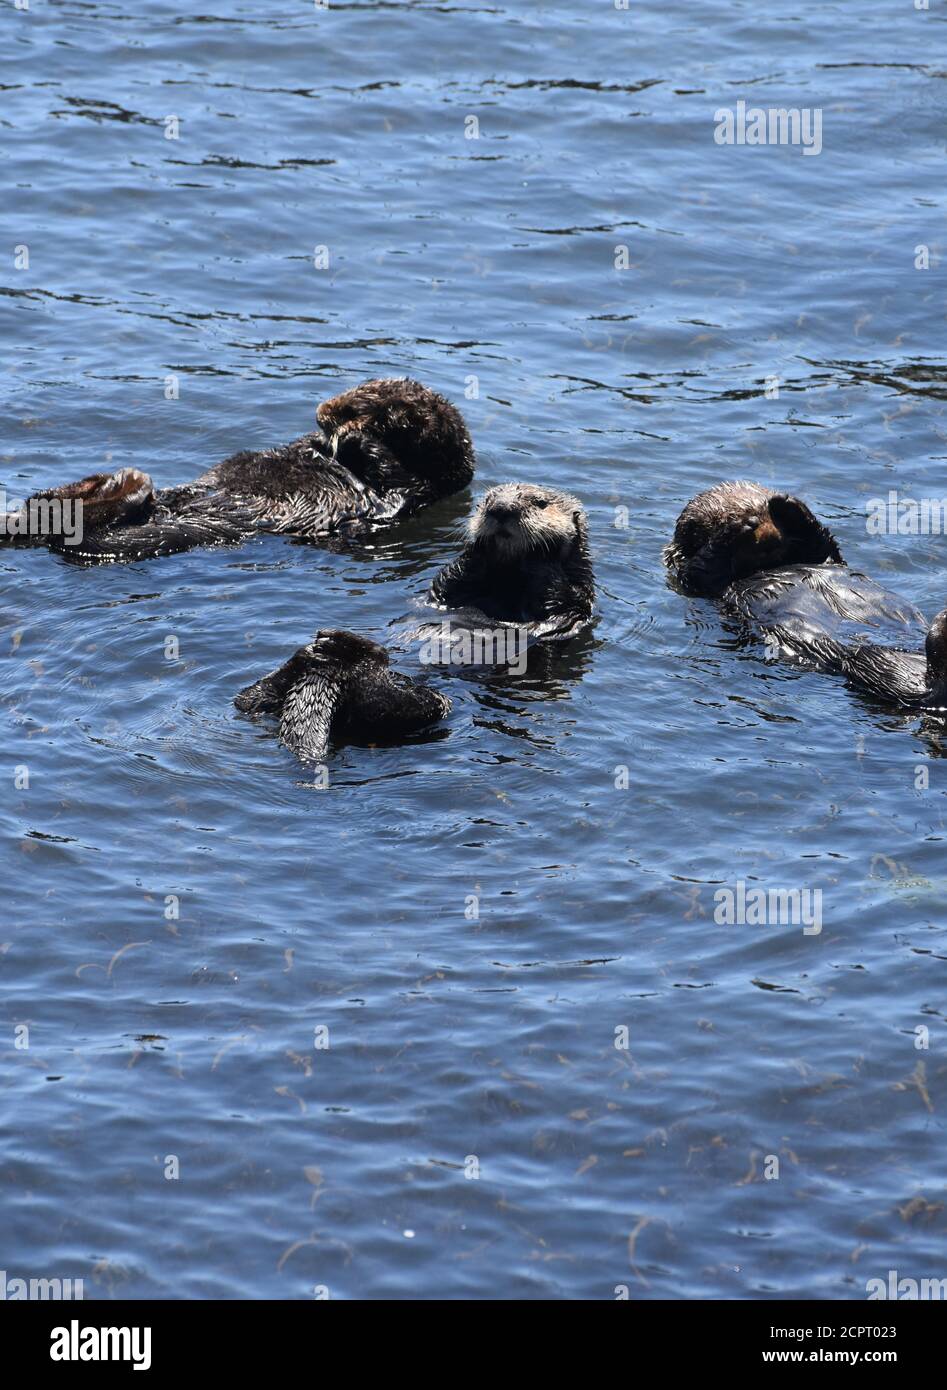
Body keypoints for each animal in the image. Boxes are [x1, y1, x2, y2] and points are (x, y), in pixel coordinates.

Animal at [0, 378, 472, 561]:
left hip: (135, 536)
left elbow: (392, 480)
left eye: (356, 406)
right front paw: (318, 444)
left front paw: (354, 438)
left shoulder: (414, 493)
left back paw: (126, 482)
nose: (322, 411)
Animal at [425, 483, 589, 639]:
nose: (501, 508)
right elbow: (444, 585)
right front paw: (483, 543)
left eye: (541, 502)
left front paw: (542, 549)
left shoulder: (577, 602)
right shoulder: (448, 592)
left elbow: (560, 603)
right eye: (487, 500)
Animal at [664, 480, 945, 717]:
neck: (770, 565)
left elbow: (822, 540)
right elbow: (704, 565)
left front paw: (786, 503)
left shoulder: (824, 556)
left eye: (763, 510)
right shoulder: (700, 582)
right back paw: (940, 626)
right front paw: (734, 528)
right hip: (875, 664)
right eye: (731, 516)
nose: (763, 532)